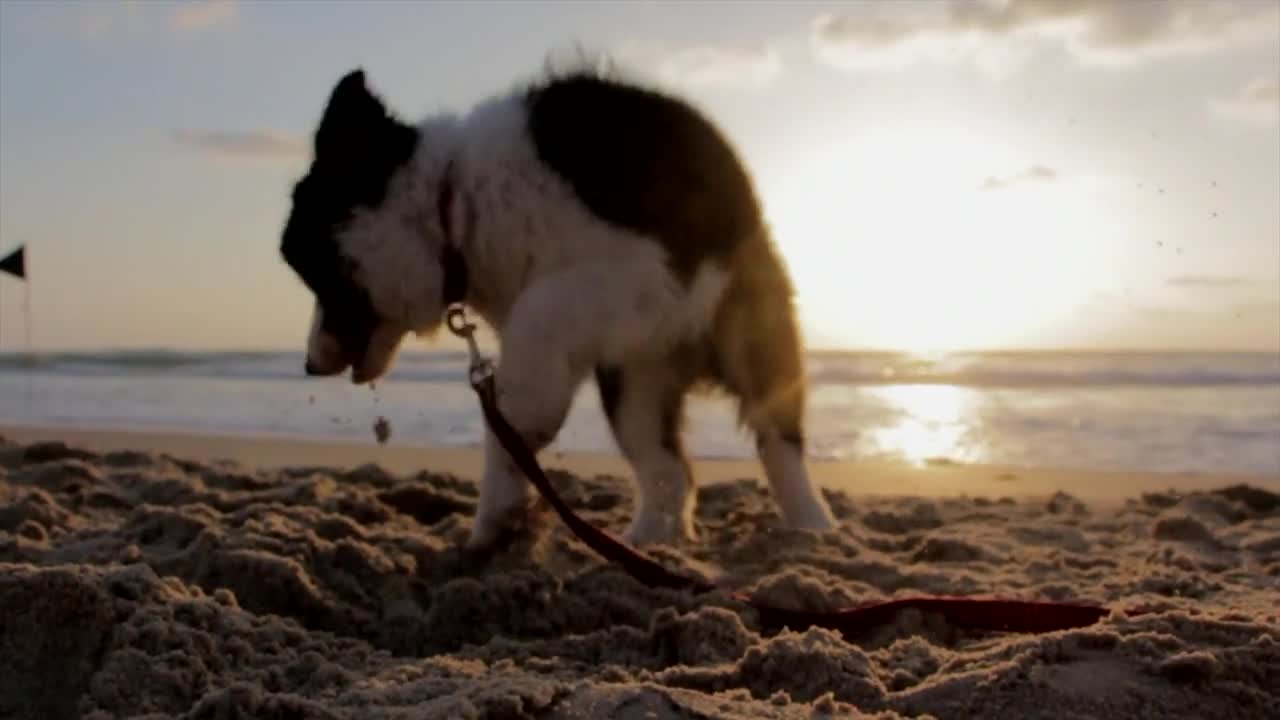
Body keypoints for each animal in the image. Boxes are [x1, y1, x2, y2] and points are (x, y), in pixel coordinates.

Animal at [281, 68, 839, 548]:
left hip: (747, 332)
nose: (308, 364)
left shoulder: (653, 265)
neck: (455, 203)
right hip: (634, 383)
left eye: (305, 264)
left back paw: (811, 527)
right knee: (669, 469)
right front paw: (500, 508)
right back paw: (649, 541)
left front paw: (518, 428)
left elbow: (536, 323)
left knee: (777, 442)